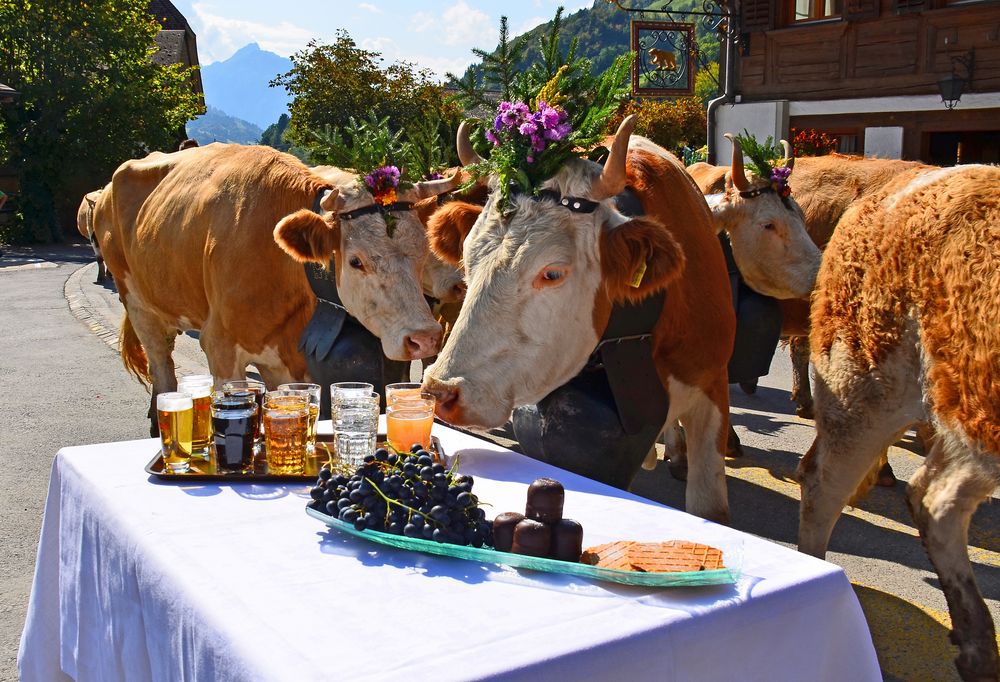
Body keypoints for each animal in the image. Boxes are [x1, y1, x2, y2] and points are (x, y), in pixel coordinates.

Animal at [95, 143, 456, 428]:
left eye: (423, 249)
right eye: (356, 261)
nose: (424, 338)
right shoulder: (220, 347)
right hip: (138, 304)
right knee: (161, 365)